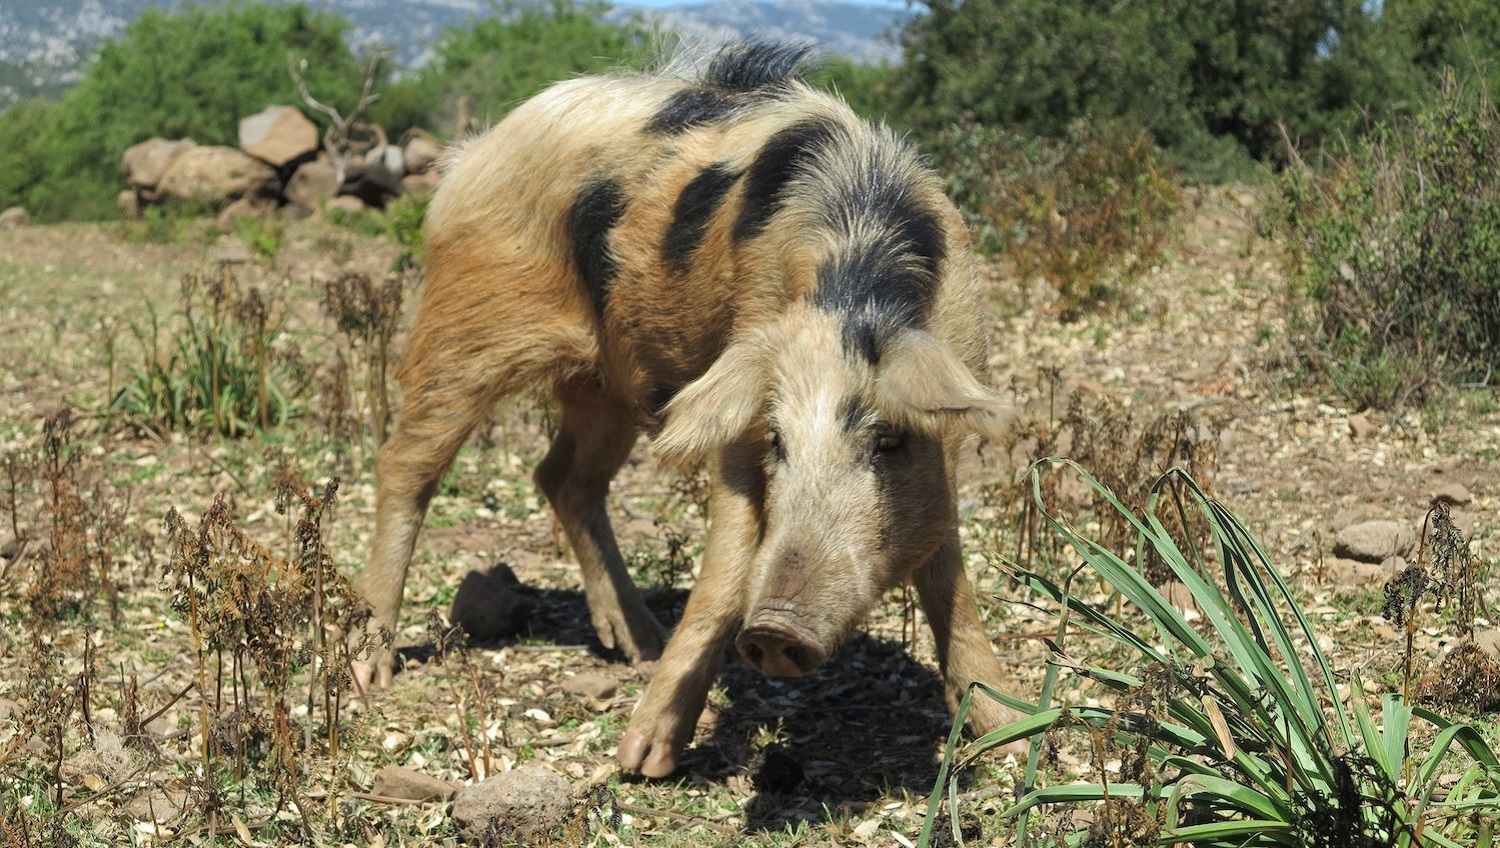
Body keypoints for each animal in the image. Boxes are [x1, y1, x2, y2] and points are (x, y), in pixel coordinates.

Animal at [357, 39, 1026, 774]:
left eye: (887, 442)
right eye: (778, 443)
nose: (776, 631)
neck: (852, 285)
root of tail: (471, 155)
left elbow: (949, 576)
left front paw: (1016, 737)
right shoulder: (742, 395)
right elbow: (725, 571)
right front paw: (642, 760)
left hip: (606, 386)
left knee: (562, 477)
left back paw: (638, 643)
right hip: (463, 326)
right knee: (405, 464)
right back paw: (370, 671)